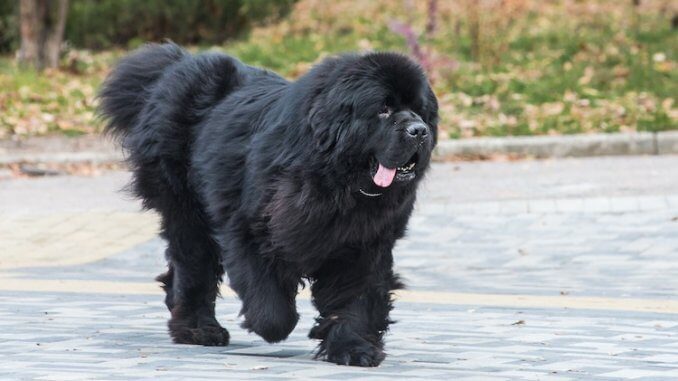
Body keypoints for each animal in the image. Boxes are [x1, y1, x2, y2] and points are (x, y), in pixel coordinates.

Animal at [99, 43, 440, 366]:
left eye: (420, 111)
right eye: (384, 109)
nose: (419, 131)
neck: (338, 182)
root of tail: (176, 65)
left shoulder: (364, 244)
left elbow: (356, 298)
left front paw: (353, 349)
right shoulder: (249, 228)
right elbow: (270, 304)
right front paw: (271, 327)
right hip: (186, 210)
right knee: (195, 266)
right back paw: (199, 330)